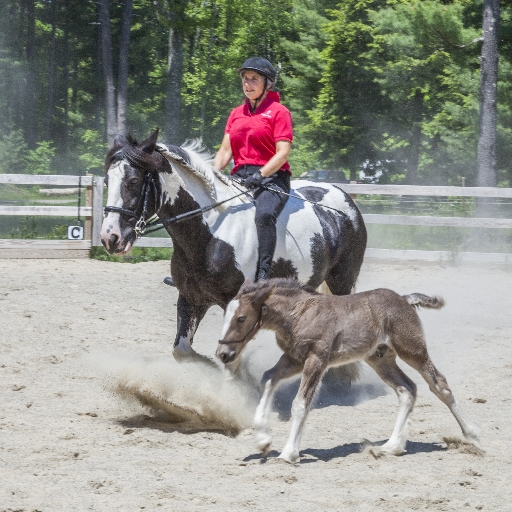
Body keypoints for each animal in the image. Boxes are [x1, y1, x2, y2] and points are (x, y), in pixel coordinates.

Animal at [100, 131, 366, 364]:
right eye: (107, 180)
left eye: (134, 181)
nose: (110, 237)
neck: (211, 233)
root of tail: (346, 200)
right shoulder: (191, 298)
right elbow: (182, 351)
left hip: (341, 280)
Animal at [215, 280, 480, 464]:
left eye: (241, 318)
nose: (222, 353)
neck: (299, 314)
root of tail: (404, 299)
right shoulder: (293, 359)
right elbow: (268, 378)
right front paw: (263, 440)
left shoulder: (316, 360)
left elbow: (300, 404)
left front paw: (289, 453)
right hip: (381, 359)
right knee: (407, 389)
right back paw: (392, 446)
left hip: (412, 350)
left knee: (439, 384)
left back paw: (472, 434)